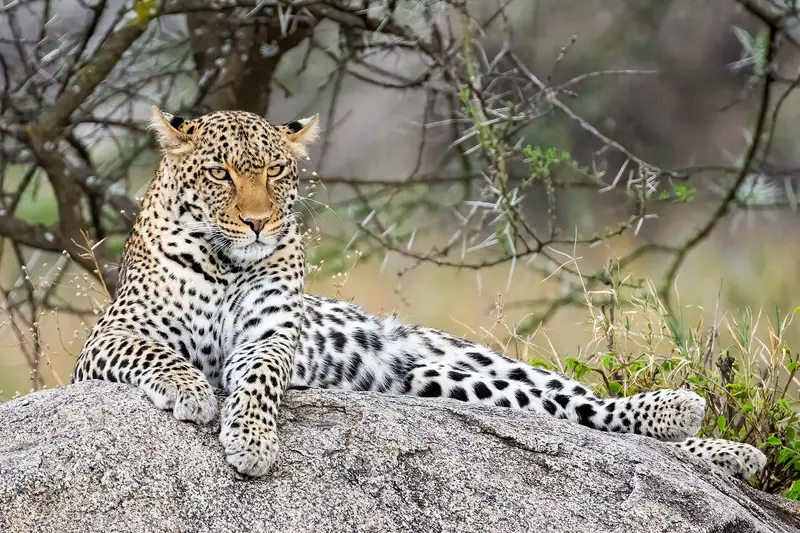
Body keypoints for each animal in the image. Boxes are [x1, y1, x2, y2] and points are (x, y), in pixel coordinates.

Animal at [73, 107, 767, 481]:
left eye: (274, 171)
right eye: (220, 173)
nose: (259, 222)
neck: (224, 261)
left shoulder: (269, 336)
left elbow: (263, 377)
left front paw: (251, 440)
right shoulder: (107, 339)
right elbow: (159, 355)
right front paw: (193, 391)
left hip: (478, 362)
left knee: (583, 403)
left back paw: (697, 424)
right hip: (442, 382)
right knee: (567, 415)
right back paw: (720, 448)